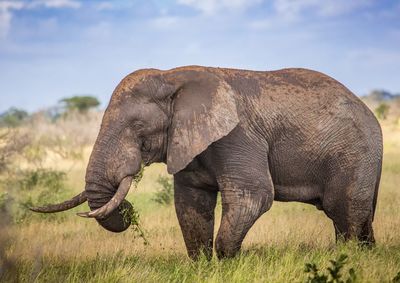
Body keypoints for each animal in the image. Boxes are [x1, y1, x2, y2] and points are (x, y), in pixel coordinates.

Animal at [30, 66, 382, 260]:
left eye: (138, 127)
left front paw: (228, 264)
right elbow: (191, 203)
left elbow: (253, 196)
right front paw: (202, 266)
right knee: (360, 217)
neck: (170, 78)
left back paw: (348, 259)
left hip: (353, 154)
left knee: (342, 210)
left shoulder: (238, 135)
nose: (129, 209)